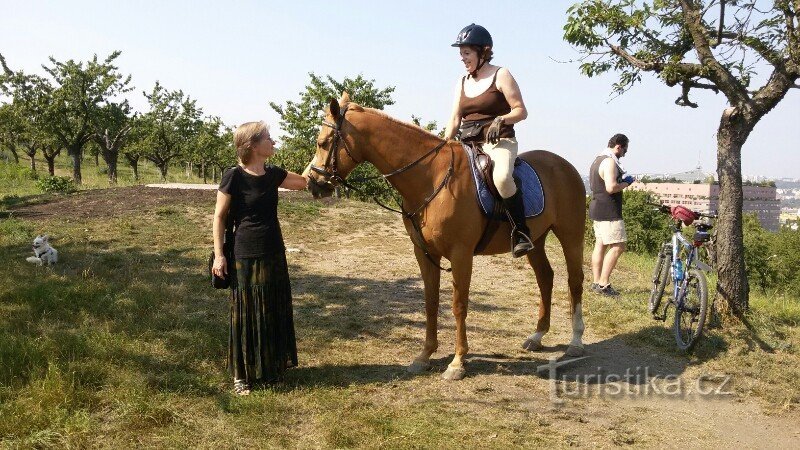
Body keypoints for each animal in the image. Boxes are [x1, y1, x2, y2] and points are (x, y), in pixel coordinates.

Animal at [310, 94, 584, 380]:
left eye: (323, 143)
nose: (312, 183)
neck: (432, 178)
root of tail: (565, 165)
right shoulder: (424, 253)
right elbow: (431, 302)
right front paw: (424, 356)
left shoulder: (461, 254)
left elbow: (459, 305)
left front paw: (457, 362)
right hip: (535, 242)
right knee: (545, 278)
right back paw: (537, 336)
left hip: (571, 236)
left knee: (574, 281)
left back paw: (575, 342)